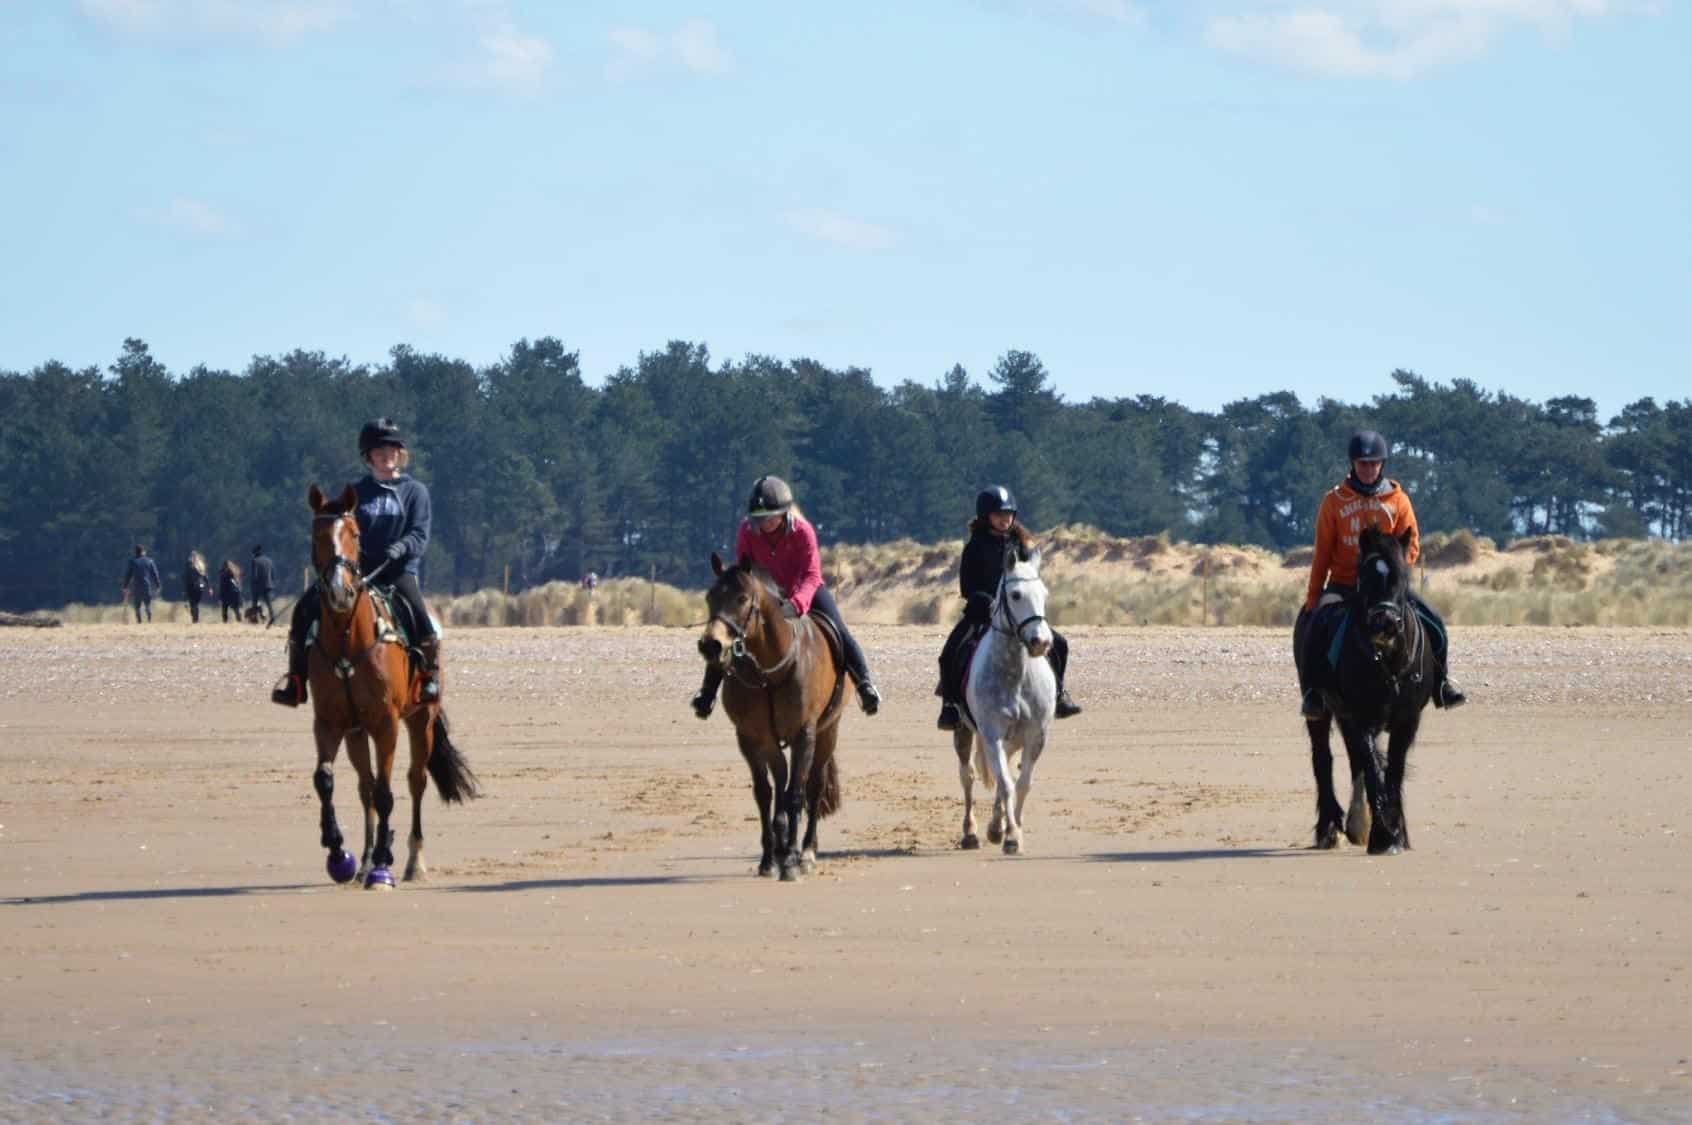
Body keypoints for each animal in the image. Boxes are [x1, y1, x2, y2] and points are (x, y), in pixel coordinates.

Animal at [301, 483, 477, 886]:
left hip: (421, 720)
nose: (339, 592)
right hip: (356, 731)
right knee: (364, 785)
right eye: (316, 536)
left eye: (354, 534)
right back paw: (365, 859)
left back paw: (413, 860)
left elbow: (386, 793)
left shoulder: (386, 723)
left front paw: (384, 861)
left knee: (415, 782)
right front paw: (339, 850)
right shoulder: (330, 722)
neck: (348, 639)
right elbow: (326, 780)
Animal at [693, 551, 846, 879]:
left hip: (828, 731)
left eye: (741, 598)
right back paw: (779, 846)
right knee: (781, 782)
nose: (710, 644)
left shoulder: (805, 734)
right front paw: (768, 859)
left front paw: (791, 860)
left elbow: (797, 794)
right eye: (710, 596)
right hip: (774, 743)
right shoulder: (751, 738)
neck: (770, 670)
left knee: (813, 788)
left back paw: (806, 851)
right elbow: (765, 794)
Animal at [954, 541, 1055, 852]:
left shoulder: (1036, 735)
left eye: (1044, 593)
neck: (1015, 675)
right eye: (1016, 594)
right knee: (968, 776)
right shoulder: (992, 734)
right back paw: (970, 833)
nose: (1041, 642)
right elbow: (1007, 784)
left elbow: (1021, 784)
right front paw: (1011, 836)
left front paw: (1014, 829)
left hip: (1011, 741)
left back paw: (995, 827)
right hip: (964, 731)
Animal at [1292, 527, 1441, 852]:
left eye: (1402, 573)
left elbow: (1393, 770)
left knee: (1354, 760)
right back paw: (1330, 829)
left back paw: (1358, 824)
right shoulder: (1361, 718)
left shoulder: (1407, 720)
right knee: (1323, 759)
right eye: (1364, 574)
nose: (1384, 622)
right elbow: (1373, 768)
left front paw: (1396, 833)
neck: (1387, 660)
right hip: (1321, 710)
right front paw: (1383, 835)